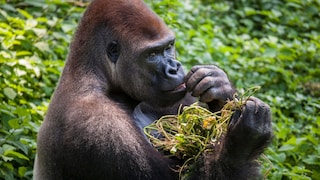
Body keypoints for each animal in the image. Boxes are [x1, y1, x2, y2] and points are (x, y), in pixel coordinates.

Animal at [33, 0, 272, 179]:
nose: (174, 68)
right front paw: (245, 140)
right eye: (152, 54)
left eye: (169, 47)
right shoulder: (99, 126)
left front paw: (218, 87)